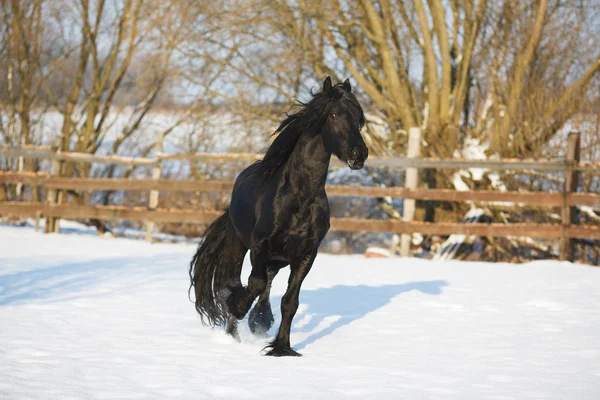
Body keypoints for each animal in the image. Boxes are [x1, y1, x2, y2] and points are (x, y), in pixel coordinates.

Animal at [189, 76, 366, 356]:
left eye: (360, 118)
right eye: (334, 114)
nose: (359, 154)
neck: (300, 198)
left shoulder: (307, 254)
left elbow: (289, 301)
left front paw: (281, 347)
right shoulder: (260, 246)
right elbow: (253, 284)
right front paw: (237, 307)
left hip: (279, 257)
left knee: (267, 281)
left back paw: (259, 320)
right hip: (240, 244)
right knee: (233, 281)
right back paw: (233, 330)